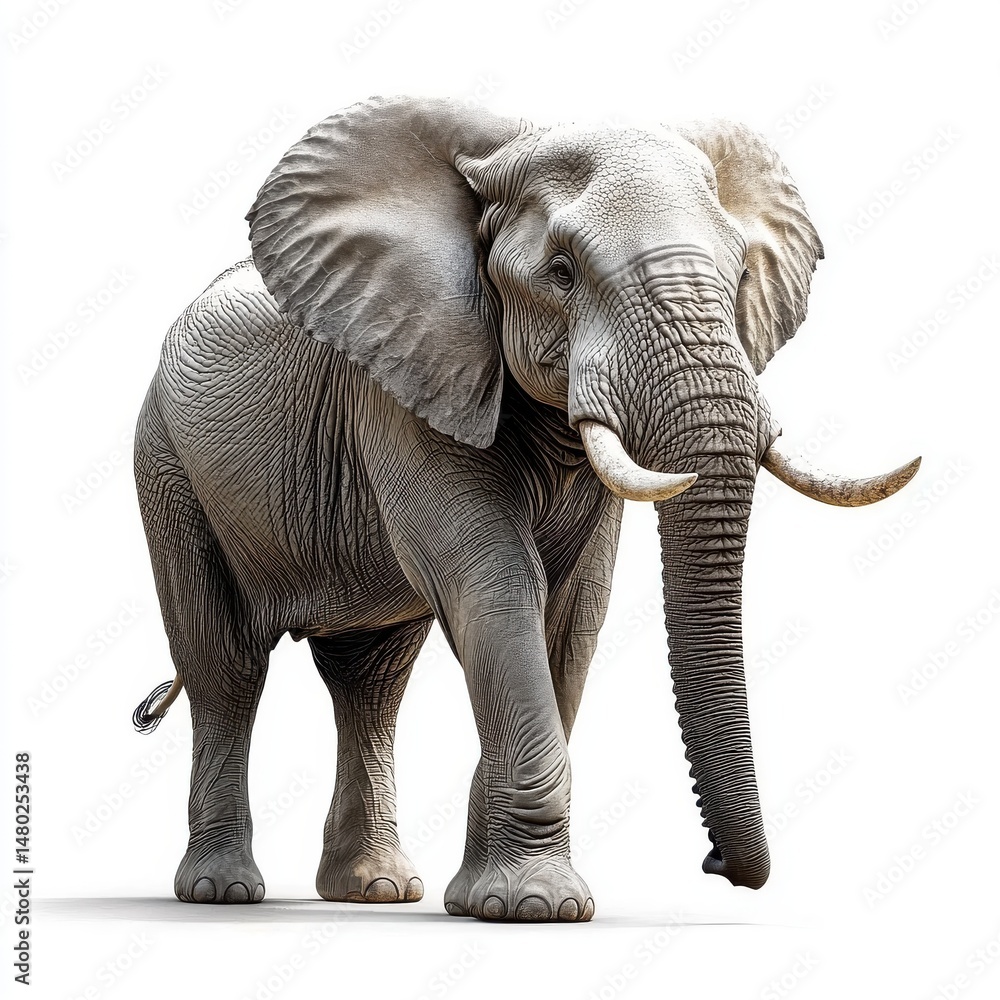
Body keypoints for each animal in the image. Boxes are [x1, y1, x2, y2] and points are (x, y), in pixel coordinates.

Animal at [132, 95, 919, 921]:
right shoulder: (401, 384)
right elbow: (497, 582)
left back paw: (376, 890)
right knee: (225, 666)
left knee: (370, 681)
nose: (716, 864)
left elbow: (574, 610)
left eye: (739, 273)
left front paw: (488, 901)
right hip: (166, 463)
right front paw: (537, 906)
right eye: (561, 274)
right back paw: (221, 891)